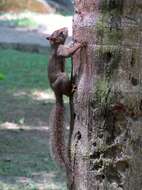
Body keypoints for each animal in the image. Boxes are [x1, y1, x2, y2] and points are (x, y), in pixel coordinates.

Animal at [46, 27, 84, 171]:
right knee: (67, 93)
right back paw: (72, 89)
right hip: (63, 77)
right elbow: (68, 52)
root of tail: (56, 94)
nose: (66, 28)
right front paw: (79, 44)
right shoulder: (61, 51)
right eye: (61, 33)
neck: (54, 46)